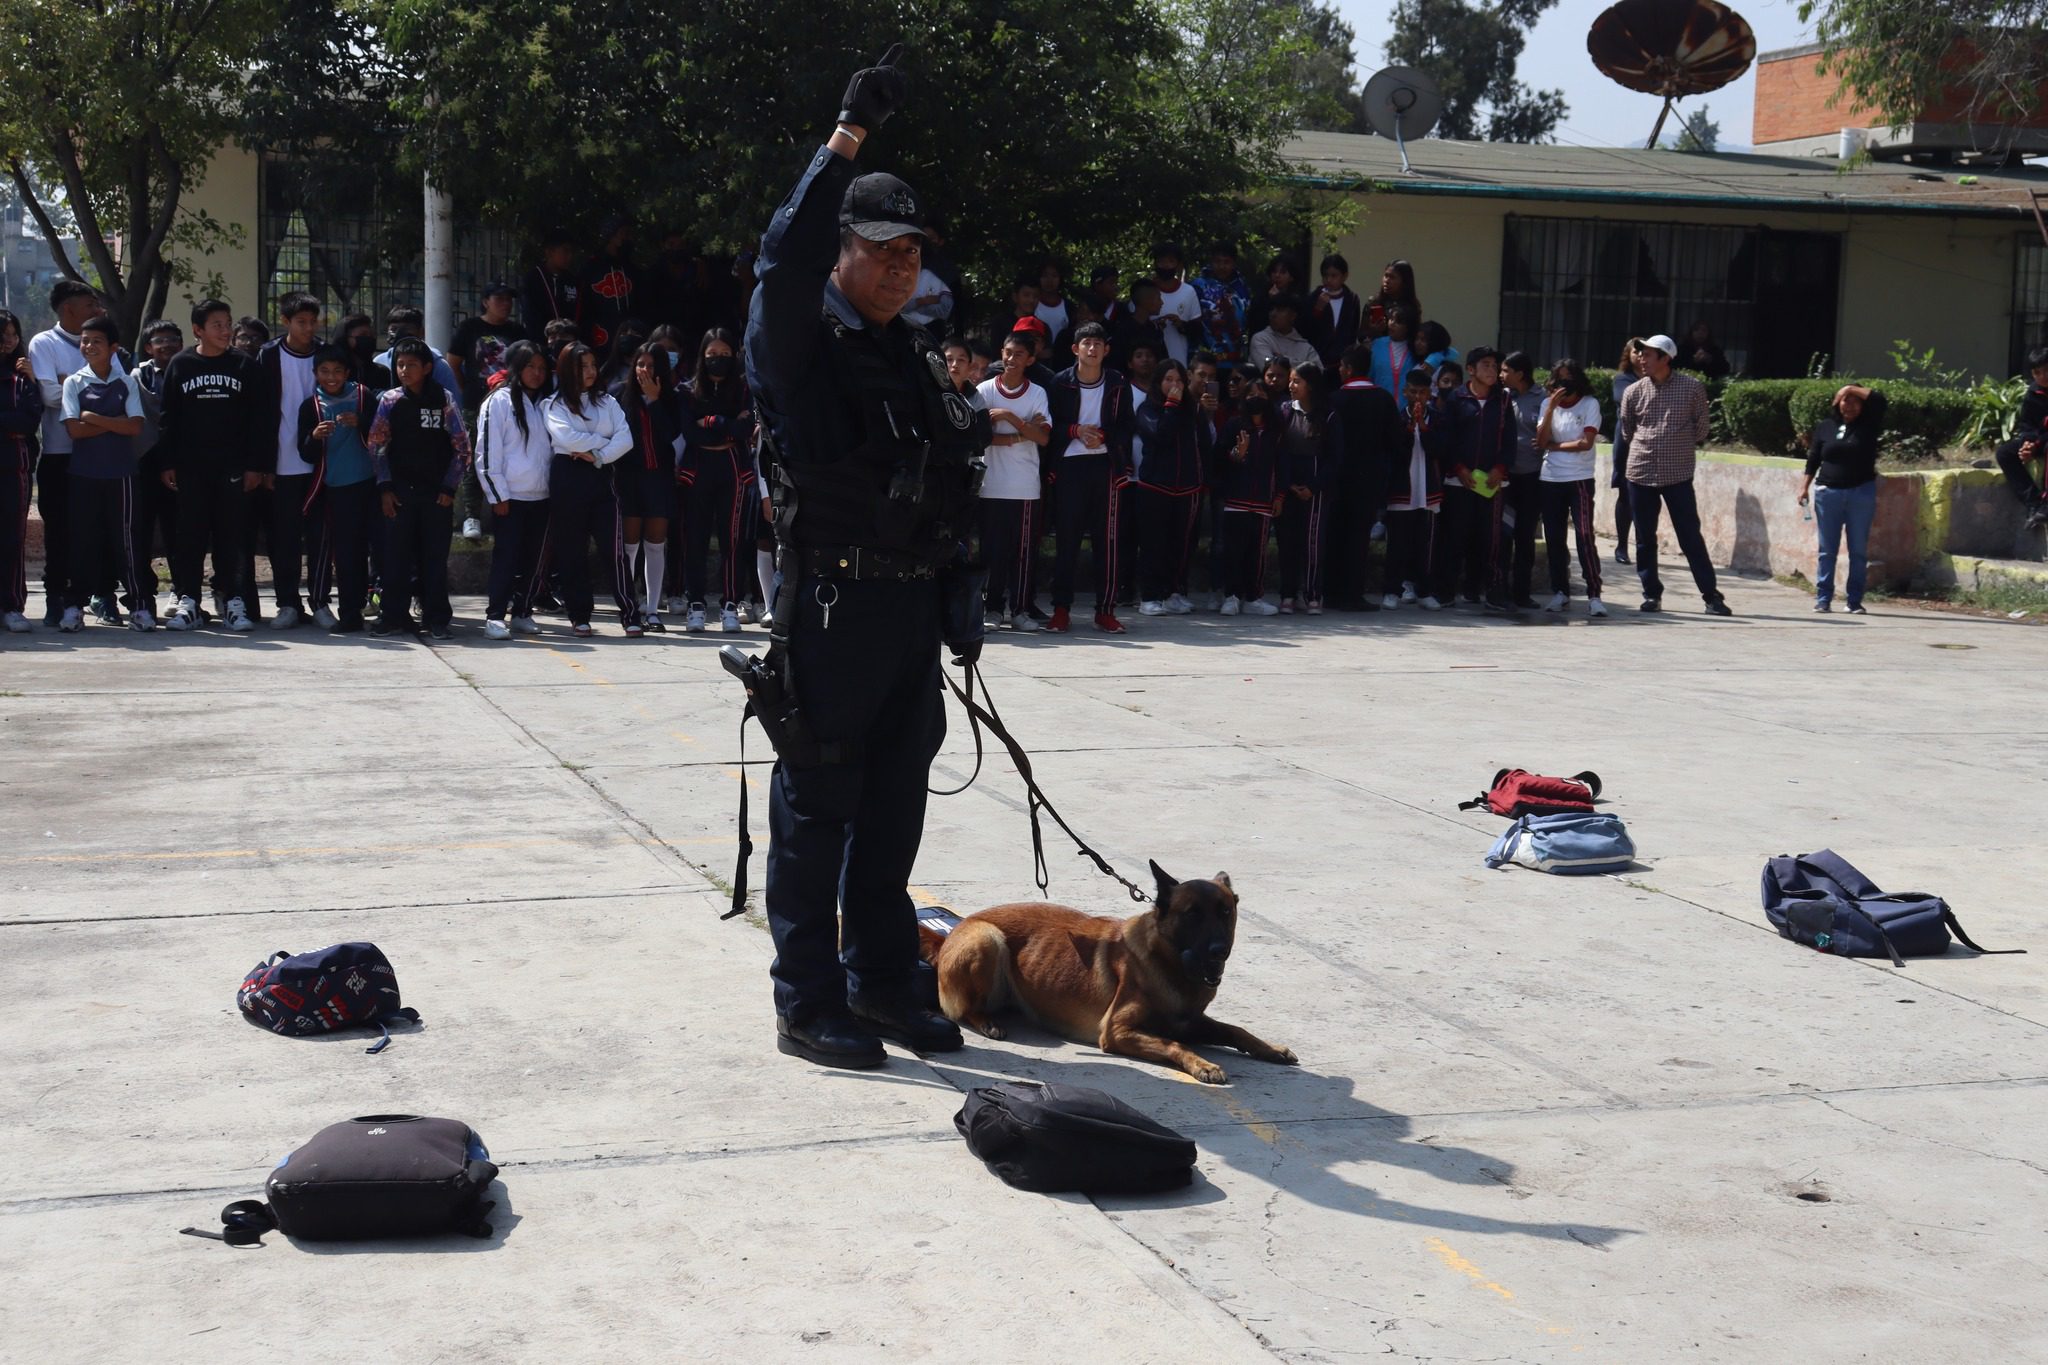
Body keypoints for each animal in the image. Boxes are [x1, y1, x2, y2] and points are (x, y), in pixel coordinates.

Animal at [917, 863, 1294, 1088]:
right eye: (1192, 914)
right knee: (963, 1009)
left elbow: (1234, 1030)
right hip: (987, 939)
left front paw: (1269, 1049)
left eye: (1225, 912)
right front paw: (1203, 1063)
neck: (1168, 964)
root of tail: (949, 934)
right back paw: (987, 1021)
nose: (1219, 952)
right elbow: (1174, 1042)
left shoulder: (1190, 1021)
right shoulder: (1116, 1031)